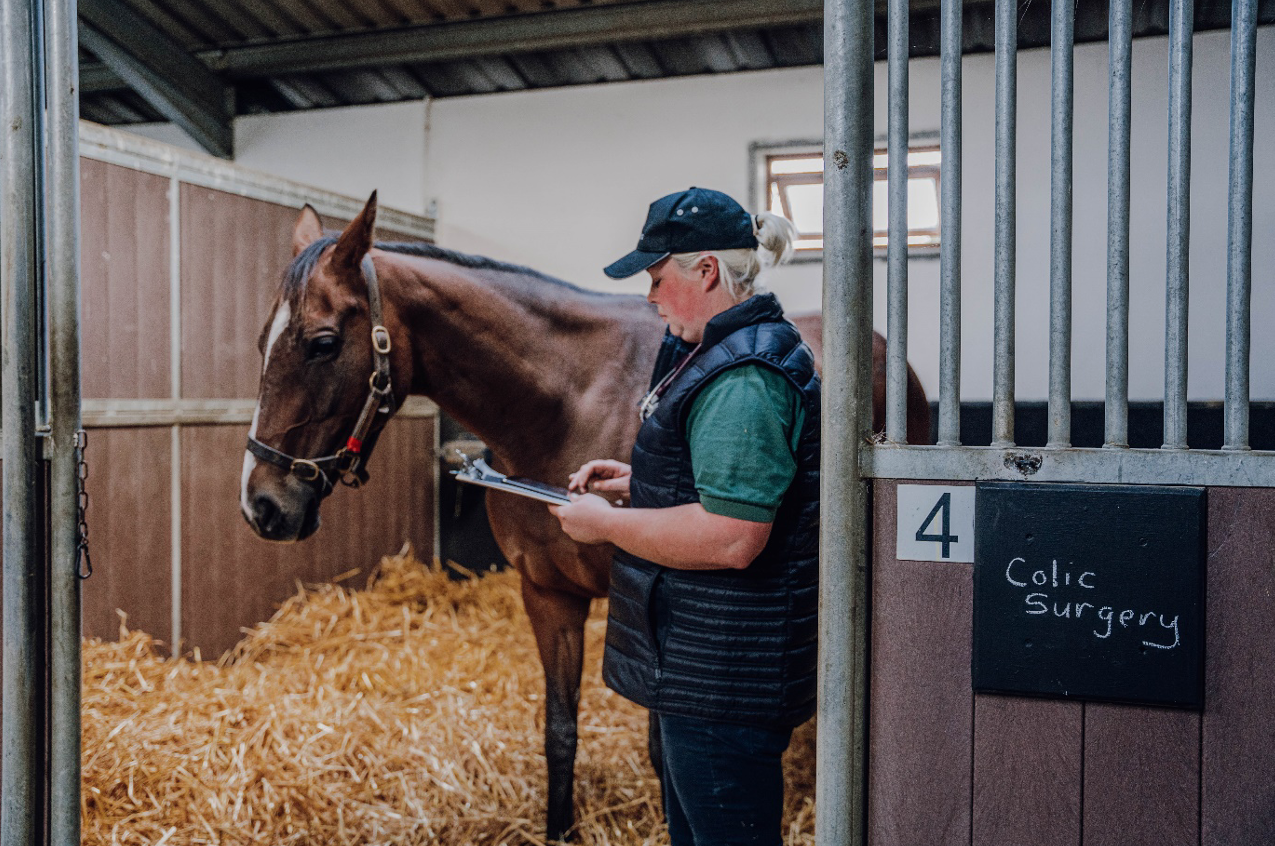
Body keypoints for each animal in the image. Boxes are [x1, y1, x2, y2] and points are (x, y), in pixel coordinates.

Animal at [240, 191, 930, 842]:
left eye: (323, 343)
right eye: (261, 339)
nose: (261, 506)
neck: (565, 403)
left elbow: (661, 750)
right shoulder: (548, 594)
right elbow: (560, 731)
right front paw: (559, 830)